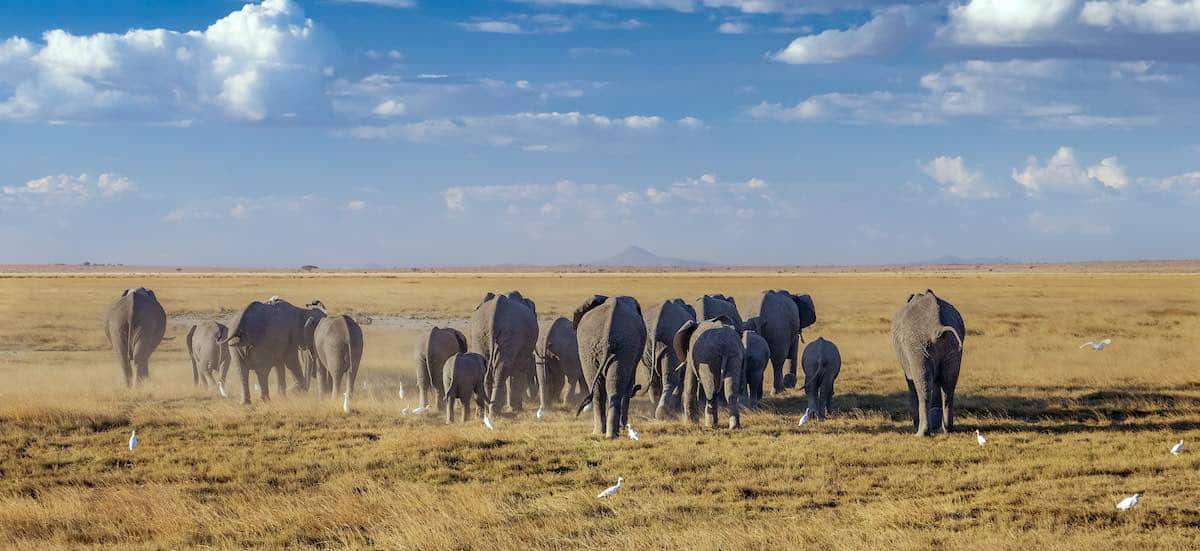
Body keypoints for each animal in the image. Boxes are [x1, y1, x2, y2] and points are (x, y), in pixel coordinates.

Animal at [571, 295, 648, 436]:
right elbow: (628, 383)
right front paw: (624, 427)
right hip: (617, 348)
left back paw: (602, 433)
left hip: (597, 347)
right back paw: (608, 434)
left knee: (601, 388)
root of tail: (608, 329)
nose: (639, 387)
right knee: (611, 387)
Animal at [892, 291, 964, 436]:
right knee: (949, 387)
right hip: (953, 346)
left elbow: (910, 381)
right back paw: (948, 430)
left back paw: (921, 434)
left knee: (922, 385)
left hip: (917, 346)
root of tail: (937, 326)